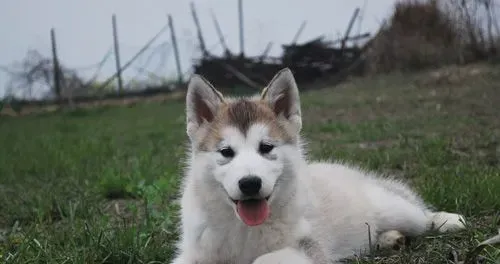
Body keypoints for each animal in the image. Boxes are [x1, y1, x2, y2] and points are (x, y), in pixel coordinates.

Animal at [170, 68, 466, 264]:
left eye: (266, 147)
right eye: (226, 152)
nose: (250, 183)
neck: (243, 227)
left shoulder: (308, 248)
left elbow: (262, 260)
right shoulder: (194, 253)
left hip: (395, 210)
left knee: (421, 215)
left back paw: (446, 220)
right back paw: (388, 239)